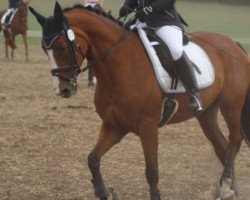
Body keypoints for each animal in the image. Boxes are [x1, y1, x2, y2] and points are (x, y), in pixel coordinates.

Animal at [29, 2, 250, 200]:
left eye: (62, 47)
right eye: (44, 49)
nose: (62, 90)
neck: (119, 66)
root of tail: (233, 44)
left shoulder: (148, 126)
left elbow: (151, 171)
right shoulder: (114, 126)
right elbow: (93, 159)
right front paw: (103, 192)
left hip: (231, 105)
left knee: (235, 139)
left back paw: (227, 185)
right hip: (206, 113)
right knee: (222, 145)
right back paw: (228, 188)